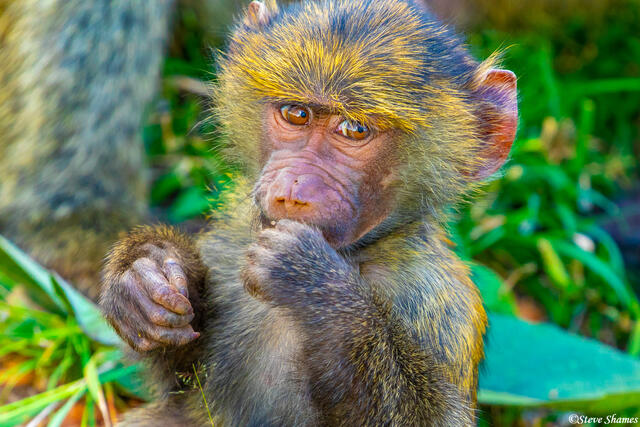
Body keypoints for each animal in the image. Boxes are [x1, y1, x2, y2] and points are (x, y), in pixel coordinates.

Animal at [99, 0, 518, 425]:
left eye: (354, 130)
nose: (292, 189)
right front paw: (144, 273)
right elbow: (181, 383)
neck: (361, 251)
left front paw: (314, 281)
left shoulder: (435, 299)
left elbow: (429, 417)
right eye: (296, 114)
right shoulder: (231, 243)